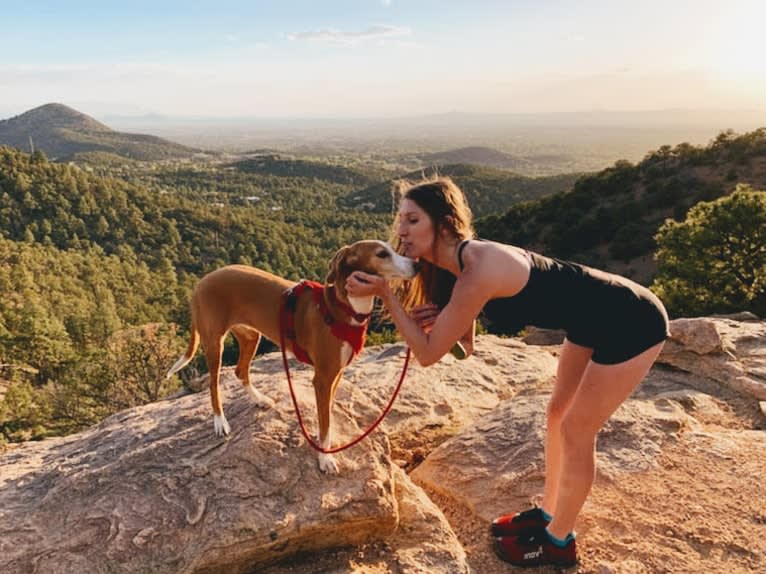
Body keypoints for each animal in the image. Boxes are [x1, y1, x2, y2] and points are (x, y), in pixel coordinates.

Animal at [168, 241, 420, 474]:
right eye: (382, 254)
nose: (417, 265)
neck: (342, 307)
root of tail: (202, 281)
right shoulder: (323, 378)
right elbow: (325, 421)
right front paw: (325, 458)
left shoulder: (336, 374)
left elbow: (327, 415)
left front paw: (324, 442)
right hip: (214, 342)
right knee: (214, 383)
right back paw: (220, 421)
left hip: (251, 336)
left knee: (240, 371)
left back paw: (259, 399)